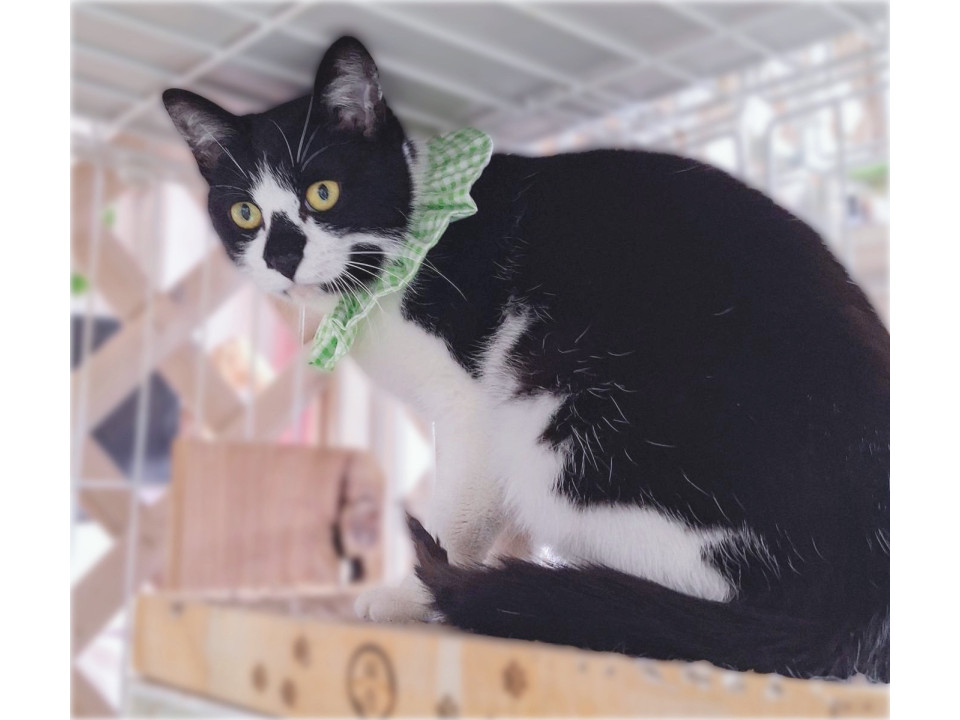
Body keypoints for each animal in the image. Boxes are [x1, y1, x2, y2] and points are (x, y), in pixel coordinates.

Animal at [163, 36, 889, 682]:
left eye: (323, 193)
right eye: (245, 212)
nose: (282, 257)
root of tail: (860, 594)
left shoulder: (473, 407)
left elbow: (458, 511)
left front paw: (414, 593)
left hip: (564, 424)